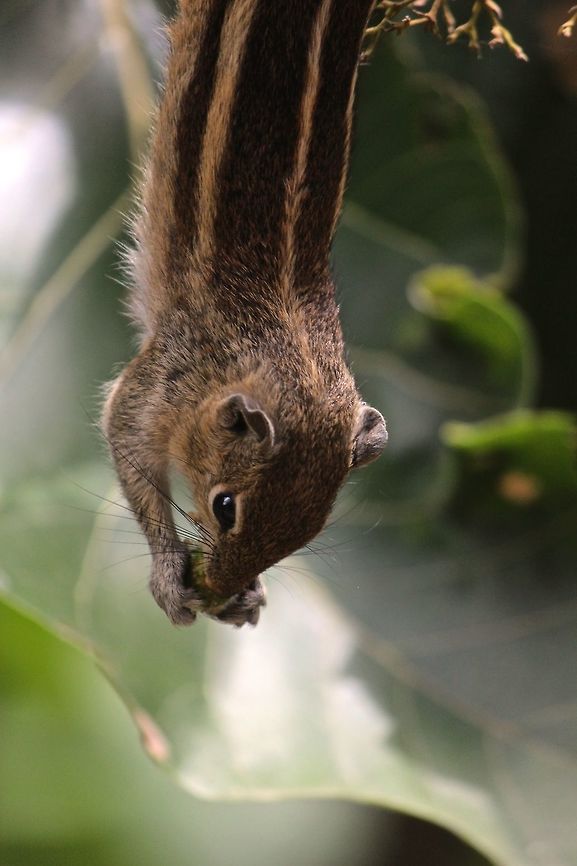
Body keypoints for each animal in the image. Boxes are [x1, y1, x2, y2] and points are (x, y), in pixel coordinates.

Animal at [102, 0, 388, 628]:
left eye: (310, 530)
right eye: (224, 505)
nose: (226, 583)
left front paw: (247, 595)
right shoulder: (165, 375)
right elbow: (125, 439)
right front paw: (169, 575)